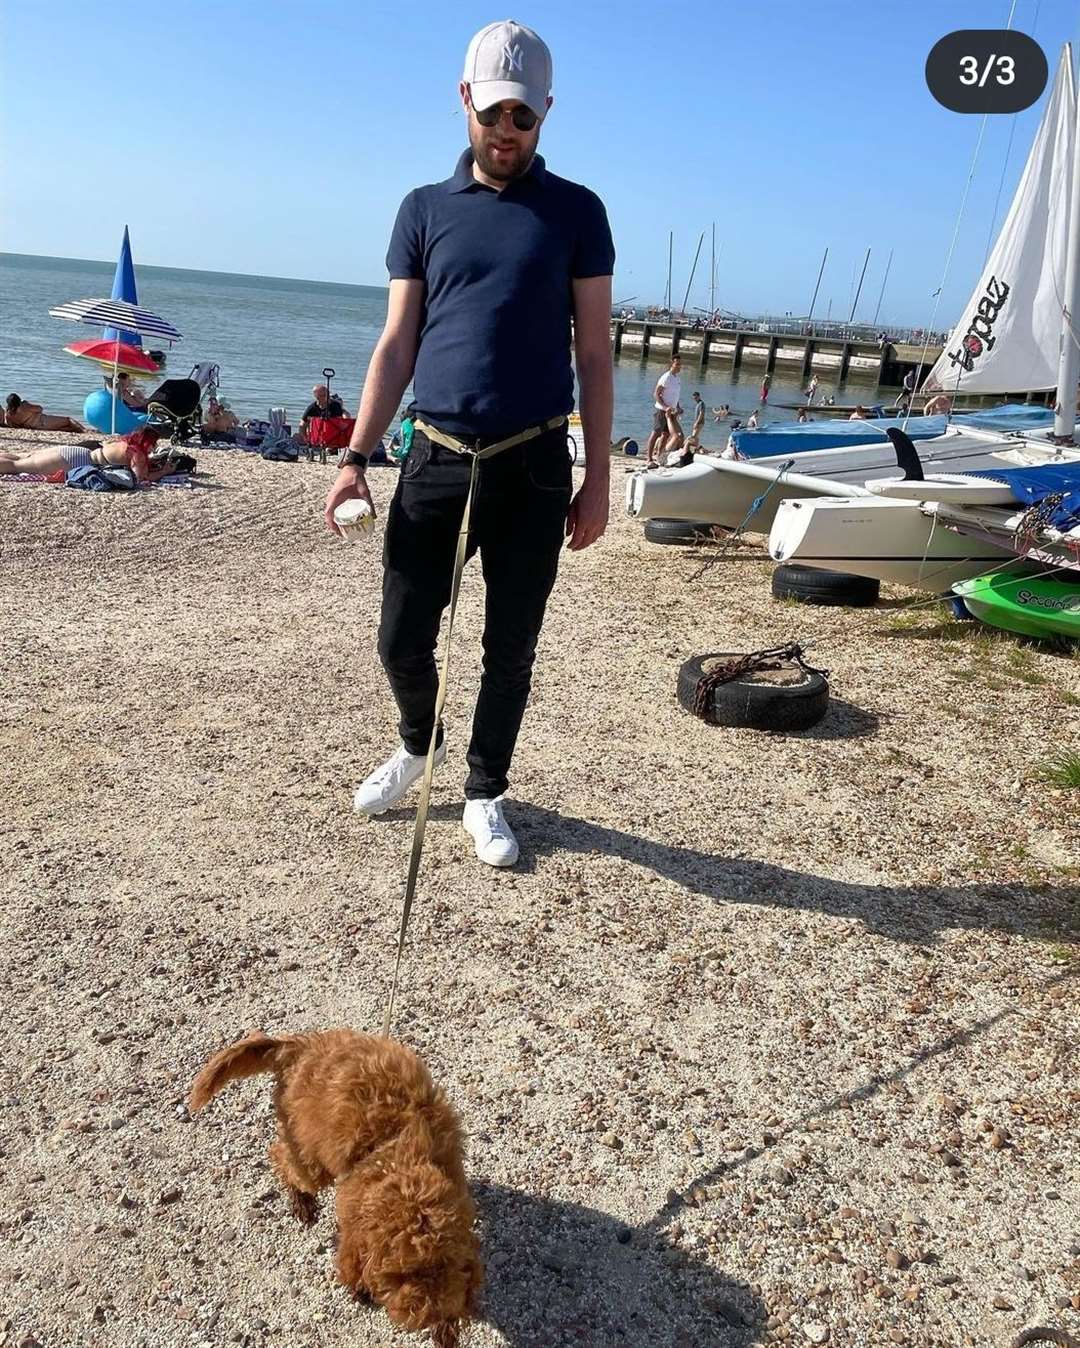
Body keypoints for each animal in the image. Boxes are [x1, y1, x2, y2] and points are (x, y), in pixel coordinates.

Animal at [188, 1024, 480, 1342]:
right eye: (401, 1274)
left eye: (444, 1267)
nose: (429, 1314)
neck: (405, 1156)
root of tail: (299, 1046)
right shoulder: (353, 1221)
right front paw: (359, 1288)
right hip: (308, 1150)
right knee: (281, 1157)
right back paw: (302, 1203)